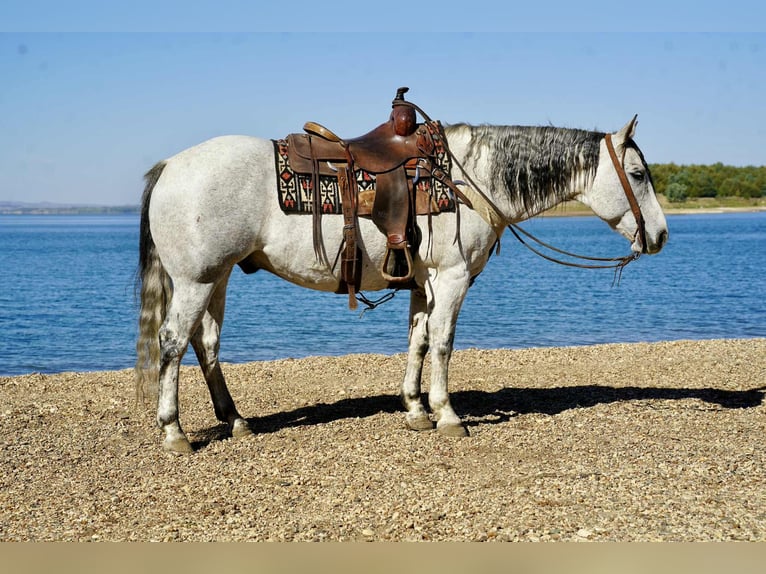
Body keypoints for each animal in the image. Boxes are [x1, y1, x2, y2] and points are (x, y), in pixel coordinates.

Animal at [135, 113, 668, 454]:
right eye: (638, 174)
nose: (660, 235)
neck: (467, 180)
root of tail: (171, 166)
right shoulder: (452, 278)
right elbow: (444, 343)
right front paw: (447, 415)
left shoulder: (421, 282)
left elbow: (418, 341)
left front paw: (415, 410)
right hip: (197, 279)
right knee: (173, 342)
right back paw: (174, 432)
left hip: (217, 277)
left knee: (205, 343)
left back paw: (236, 420)